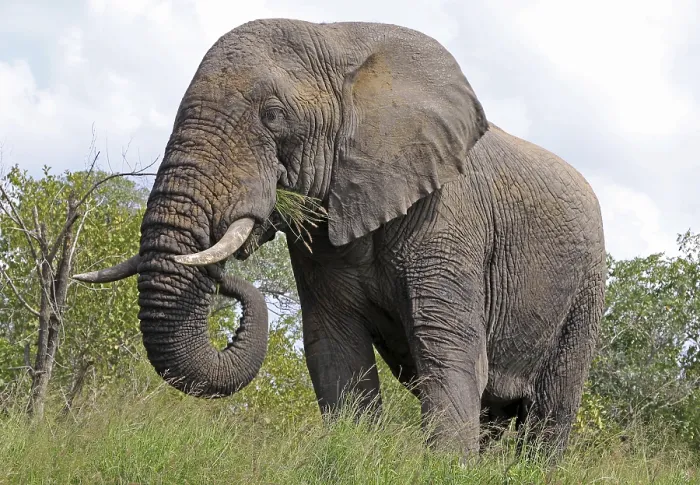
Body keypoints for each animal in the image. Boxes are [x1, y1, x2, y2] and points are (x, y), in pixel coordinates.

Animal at [74, 19, 605, 456]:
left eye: (272, 115)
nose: (228, 276)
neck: (342, 43)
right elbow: (336, 355)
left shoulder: (449, 221)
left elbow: (449, 354)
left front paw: (446, 469)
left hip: (585, 289)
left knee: (551, 409)